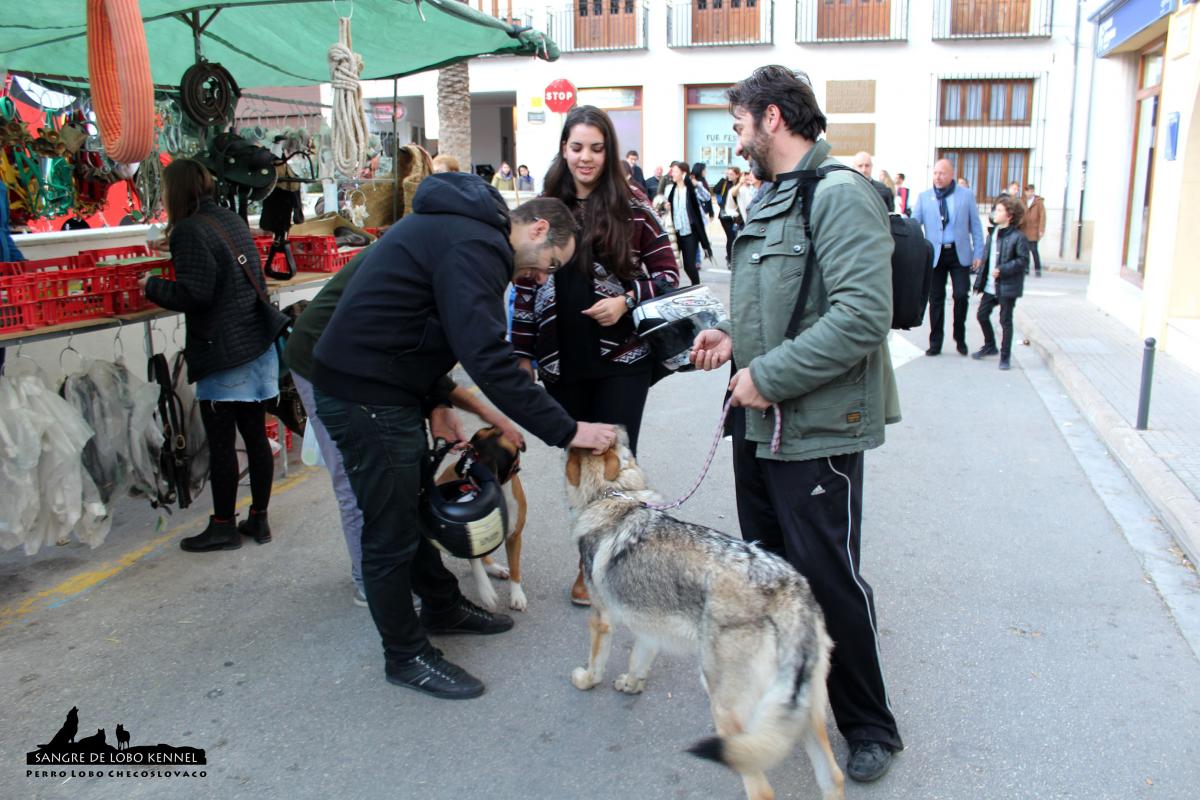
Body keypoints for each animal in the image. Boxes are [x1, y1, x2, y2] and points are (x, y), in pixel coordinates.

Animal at [564, 438, 840, 800]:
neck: (613, 497)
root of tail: (788, 592)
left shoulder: (601, 618)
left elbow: (596, 663)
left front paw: (585, 680)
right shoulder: (650, 628)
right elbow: (639, 660)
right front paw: (632, 685)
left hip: (725, 709)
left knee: (762, 790)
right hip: (804, 710)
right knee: (834, 777)